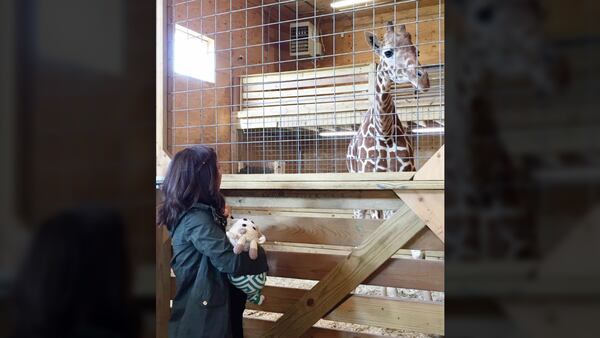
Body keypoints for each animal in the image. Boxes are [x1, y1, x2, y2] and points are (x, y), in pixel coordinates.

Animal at [344, 22, 428, 220]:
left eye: (417, 51)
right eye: (388, 52)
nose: (424, 80)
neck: (385, 132)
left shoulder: (401, 177)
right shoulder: (371, 183)